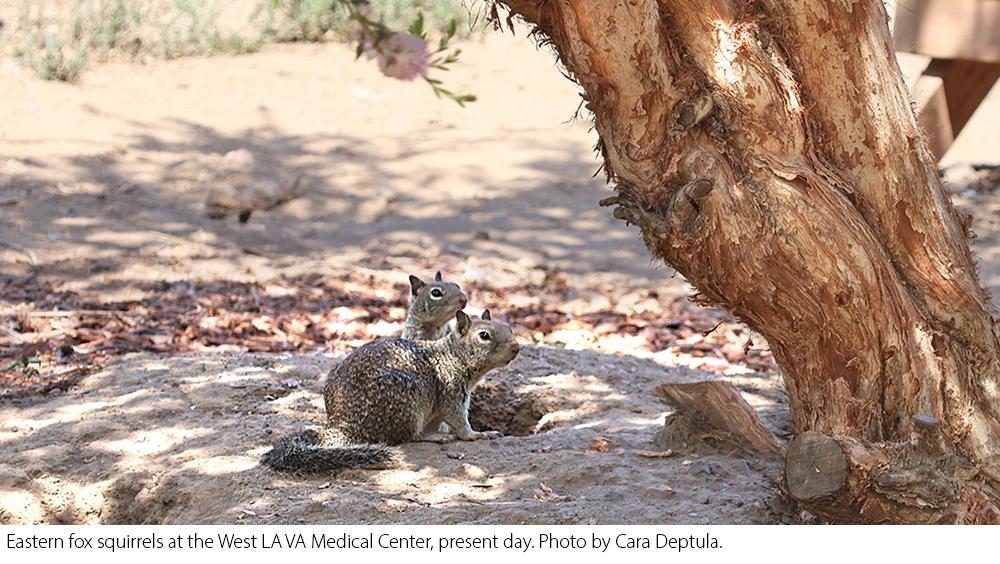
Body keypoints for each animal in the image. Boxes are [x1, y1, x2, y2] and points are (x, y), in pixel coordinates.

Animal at [261, 309, 519, 474]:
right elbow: (457, 419)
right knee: (408, 436)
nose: (517, 347)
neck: (452, 356)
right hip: (407, 401)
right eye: (484, 335)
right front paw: (478, 435)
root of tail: (344, 425)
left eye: (508, 327)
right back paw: (437, 437)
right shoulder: (452, 391)